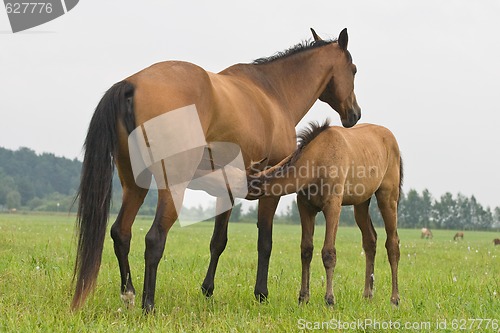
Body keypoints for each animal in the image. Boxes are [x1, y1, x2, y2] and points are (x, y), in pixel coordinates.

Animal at [71, 28, 360, 312]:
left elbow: (218, 241)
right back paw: (148, 305)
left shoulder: (228, 189)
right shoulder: (271, 189)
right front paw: (261, 293)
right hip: (172, 188)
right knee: (154, 239)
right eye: (354, 69)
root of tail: (133, 84)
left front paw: (207, 289)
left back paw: (129, 296)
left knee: (121, 233)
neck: (273, 92)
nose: (355, 114)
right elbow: (264, 242)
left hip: (134, 184)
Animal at [248, 120, 404, 304]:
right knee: (370, 240)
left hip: (388, 197)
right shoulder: (305, 207)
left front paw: (329, 299)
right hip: (361, 203)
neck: (318, 160)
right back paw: (367, 295)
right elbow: (306, 250)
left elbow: (328, 253)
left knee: (392, 243)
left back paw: (394, 299)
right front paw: (303, 297)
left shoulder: (333, 206)